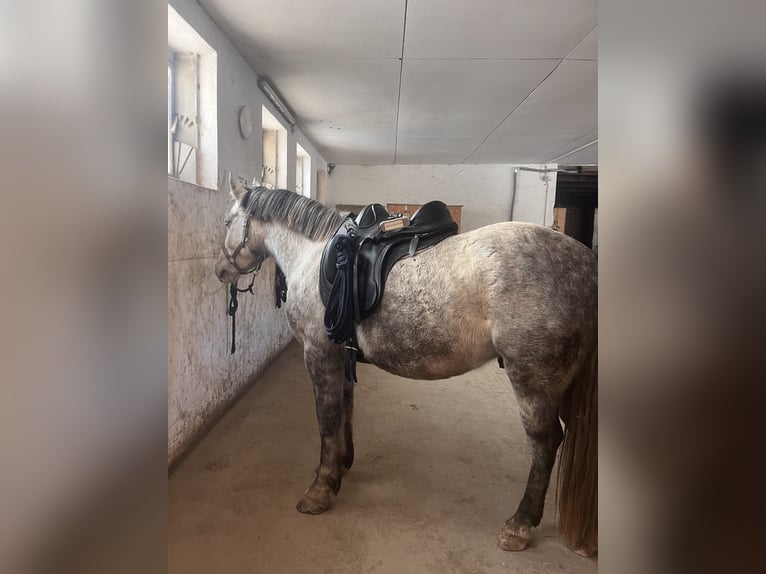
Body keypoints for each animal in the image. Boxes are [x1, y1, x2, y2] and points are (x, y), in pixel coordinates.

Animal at [214, 180, 598, 557]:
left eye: (227, 221)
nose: (220, 271)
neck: (313, 255)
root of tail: (586, 263)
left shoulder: (318, 353)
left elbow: (327, 418)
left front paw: (320, 489)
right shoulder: (341, 356)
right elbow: (345, 410)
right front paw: (341, 466)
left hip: (534, 380)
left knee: (545, 443)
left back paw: (519, 525)